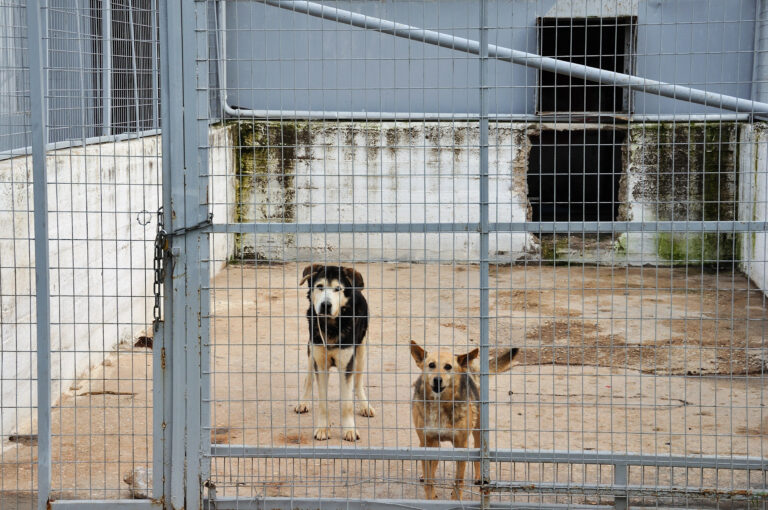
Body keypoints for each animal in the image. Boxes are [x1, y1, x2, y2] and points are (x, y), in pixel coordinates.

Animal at [294, 264, 376, 440]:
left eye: (338, 289)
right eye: (320, 286)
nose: (326, 305)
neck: (331, 326)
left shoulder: (346, 364)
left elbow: (346, 403)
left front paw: (349, 430)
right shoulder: (320, 362)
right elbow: (322, 401)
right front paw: (323, 429)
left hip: (361, 352)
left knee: (358, 382)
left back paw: (365, 405)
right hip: (311, 353)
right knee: (308, 379)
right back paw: (303, 402)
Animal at [412, 340, 520, 500]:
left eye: (448, 367)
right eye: (431, 365)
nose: (437, 380)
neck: (440, 405)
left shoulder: (461, 445)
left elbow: (459, 480)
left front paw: (456, 499)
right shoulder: (426, 442)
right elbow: (429, 478)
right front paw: (431, 496)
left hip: (479, 431)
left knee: (479, 453)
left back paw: (479, 477)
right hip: (432, 442)